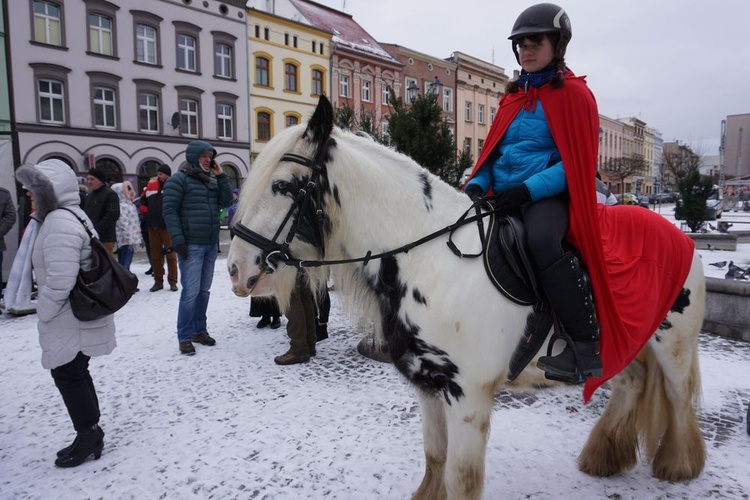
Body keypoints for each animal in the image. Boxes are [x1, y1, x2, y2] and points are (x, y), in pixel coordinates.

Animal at [226, 95, 708, 498]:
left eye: (282, 186)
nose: (235, 269)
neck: (430, 258)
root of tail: (683, 239)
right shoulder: (428, 385)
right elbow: (435, 456)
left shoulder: (467, 394)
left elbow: (459, 476)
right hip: (624, 345)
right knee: (632, 385)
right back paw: (604, 457)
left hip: (673, 346)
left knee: (679, 398)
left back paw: (679, 465)